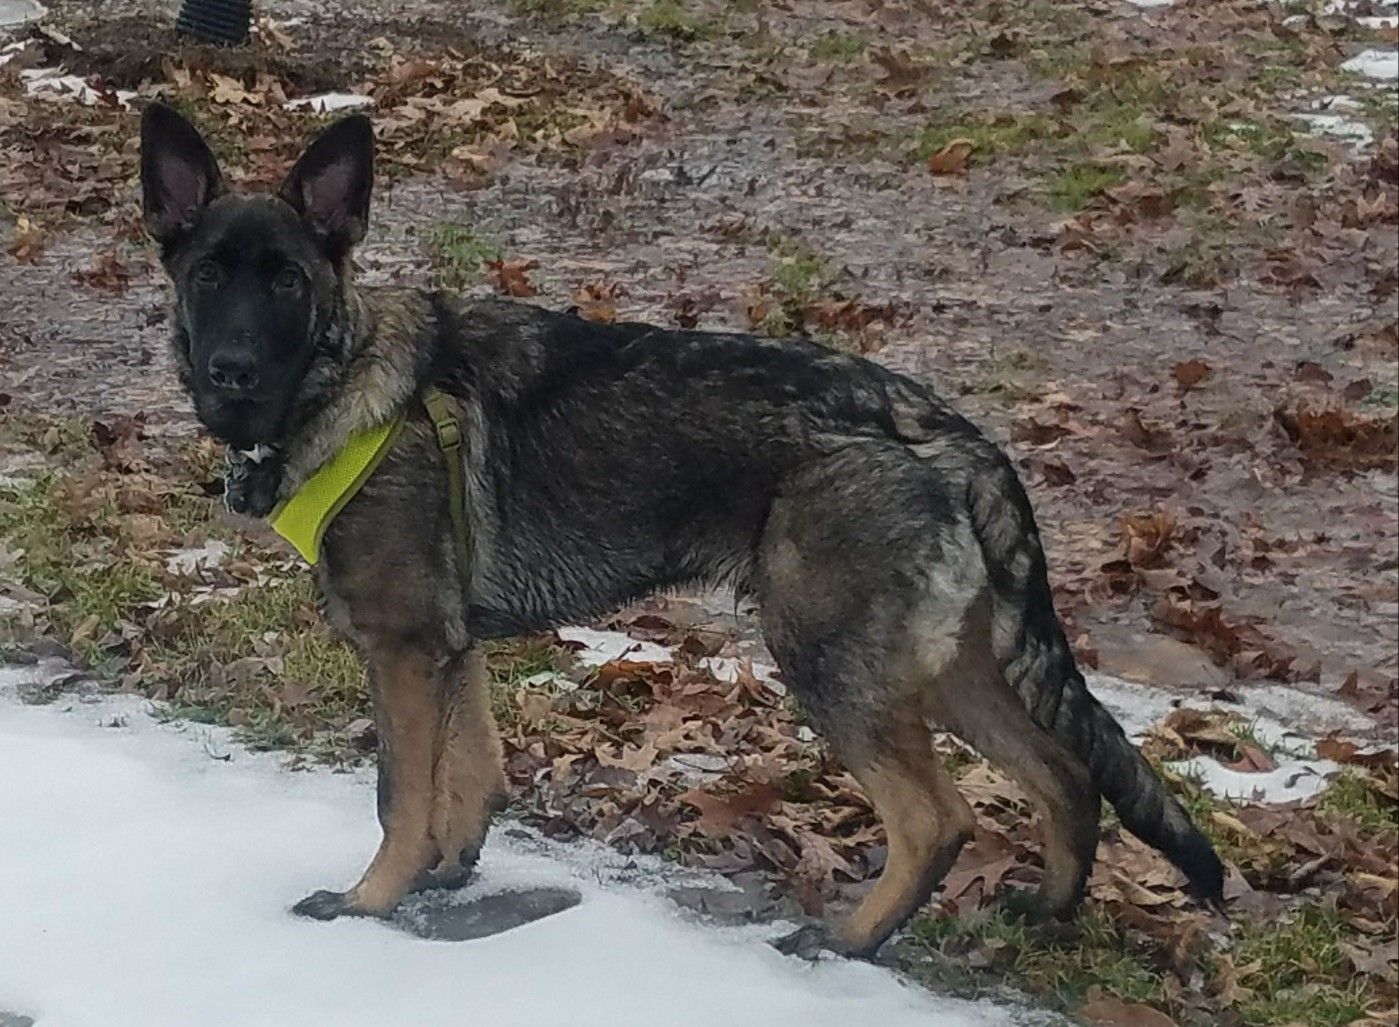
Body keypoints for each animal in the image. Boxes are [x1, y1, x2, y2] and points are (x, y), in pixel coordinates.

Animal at [141, 102, 1225, 957]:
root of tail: (935, 426)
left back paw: (848, 943)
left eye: (287, 280)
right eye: (207, 276)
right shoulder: (453, 648)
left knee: (938, 816)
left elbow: (398, 794)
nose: (231, 370)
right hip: (941, 665)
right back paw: (1043, 912)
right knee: (1066, 777)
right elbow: (471, 772)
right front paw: (447, 873)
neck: (344, 375)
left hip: (828, 656)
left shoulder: (404, 651)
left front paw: (368, 906)